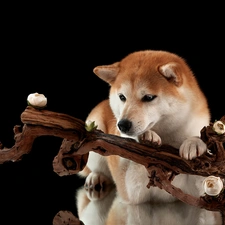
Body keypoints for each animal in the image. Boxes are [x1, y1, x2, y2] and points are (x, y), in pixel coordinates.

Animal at [77, 48, 211, 206]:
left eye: (148, 97)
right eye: (122, 97)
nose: (122, 124)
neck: (168, 139)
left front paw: (195, 143)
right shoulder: (131, 191)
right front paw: (147, 136)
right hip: (94, 128)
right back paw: (96, 177)